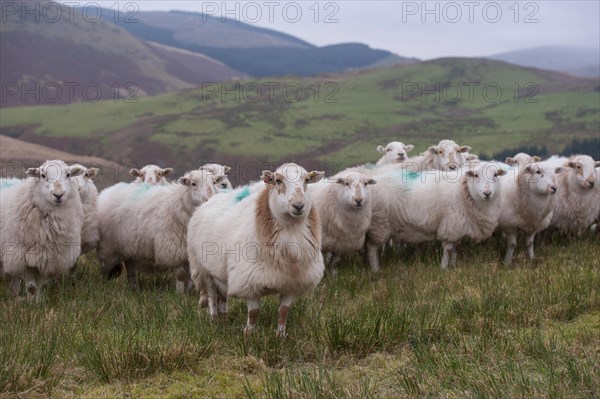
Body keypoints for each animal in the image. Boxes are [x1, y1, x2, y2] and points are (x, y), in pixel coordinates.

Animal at [0, 159, 84, 300]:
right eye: (43, 175)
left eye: (68, 175)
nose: (58, 195)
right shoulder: (23, 258)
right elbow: (31, 287)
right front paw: (30, 303)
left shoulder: (48, 259)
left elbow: (38, 286)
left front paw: (38, 301)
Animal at [190, 162, 326, 338]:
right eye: (278, 180)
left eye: (307, 180)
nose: (298, 206)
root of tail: (213, 198)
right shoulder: (249, 280)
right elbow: (254, 313)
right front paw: (249, 336)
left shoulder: (290, 281)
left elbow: (284, 312)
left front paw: (281, 336)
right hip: (203, 270)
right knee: (212, 297)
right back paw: (214, 321)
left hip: (221, 273)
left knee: (223, 297)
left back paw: (224, 320)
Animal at [366, 162, 506, 272]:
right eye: (476, 175)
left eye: (496, 175)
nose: (487, 193)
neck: (463, 191)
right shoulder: (450, 226)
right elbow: (448, 250)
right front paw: (443, 268)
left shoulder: (457, 229)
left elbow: (454, 250)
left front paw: (453, 267)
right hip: (379, 223)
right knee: (372, 249)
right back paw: (375, 270)